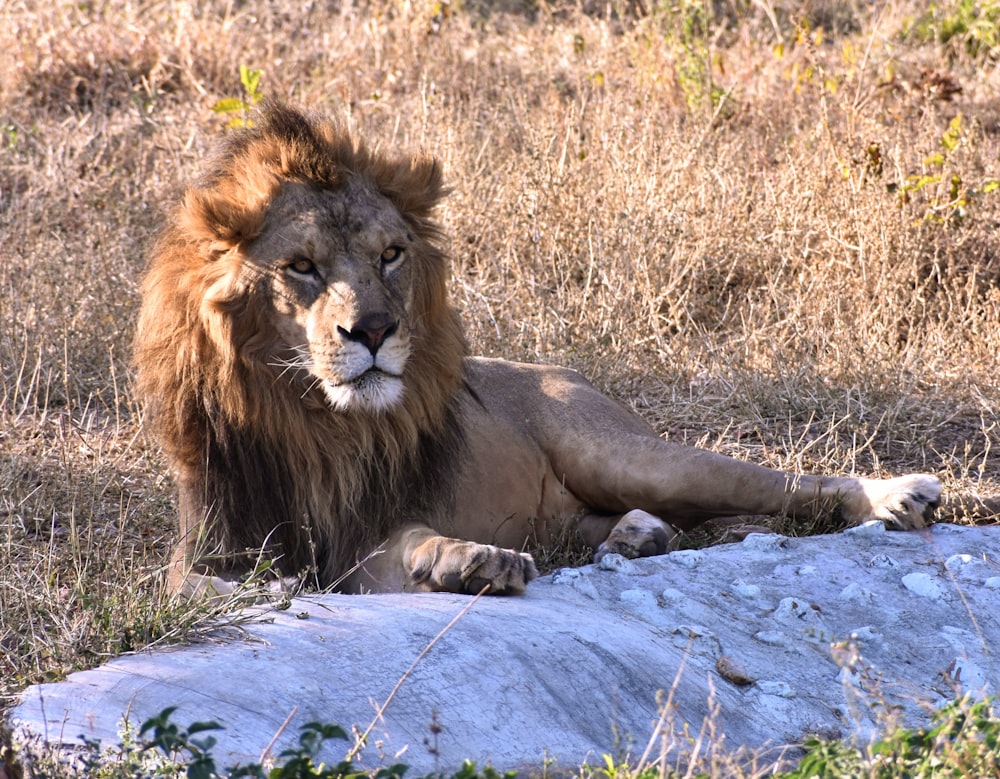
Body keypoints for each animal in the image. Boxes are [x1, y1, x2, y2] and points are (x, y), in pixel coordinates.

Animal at [135, 100, 944, 596]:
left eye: (391, 254)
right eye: (301, 266)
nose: (374, 331)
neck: (308, 419)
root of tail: (557, 369)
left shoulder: (368, 533)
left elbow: (412, 541)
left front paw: (471, 560)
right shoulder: (208, 537)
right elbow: (205, 582)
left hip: (628, 455)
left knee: (778, 484)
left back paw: (894, 495)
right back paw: (633, 537)